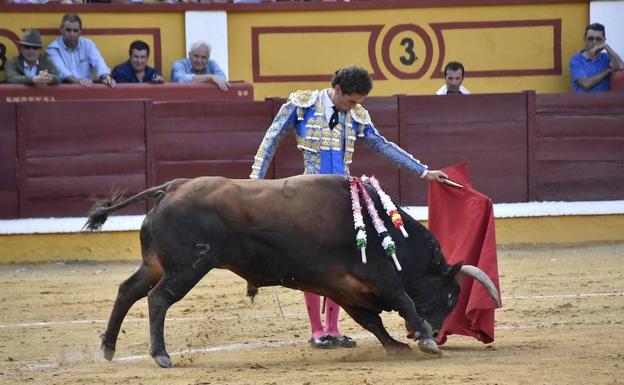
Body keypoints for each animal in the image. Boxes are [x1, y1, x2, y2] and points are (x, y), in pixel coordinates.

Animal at [85, 174, 500, 366]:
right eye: (451, 295)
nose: (436, 331)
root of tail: (171, 187)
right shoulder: (379, 277)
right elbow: (403, 301)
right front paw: (425, 342)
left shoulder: (345, 288)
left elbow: (372, 322)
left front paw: (396, 346)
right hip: (188, 268)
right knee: (157, 300)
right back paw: (161, 355)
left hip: (157, 264)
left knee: (128, 290)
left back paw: (107, 346)